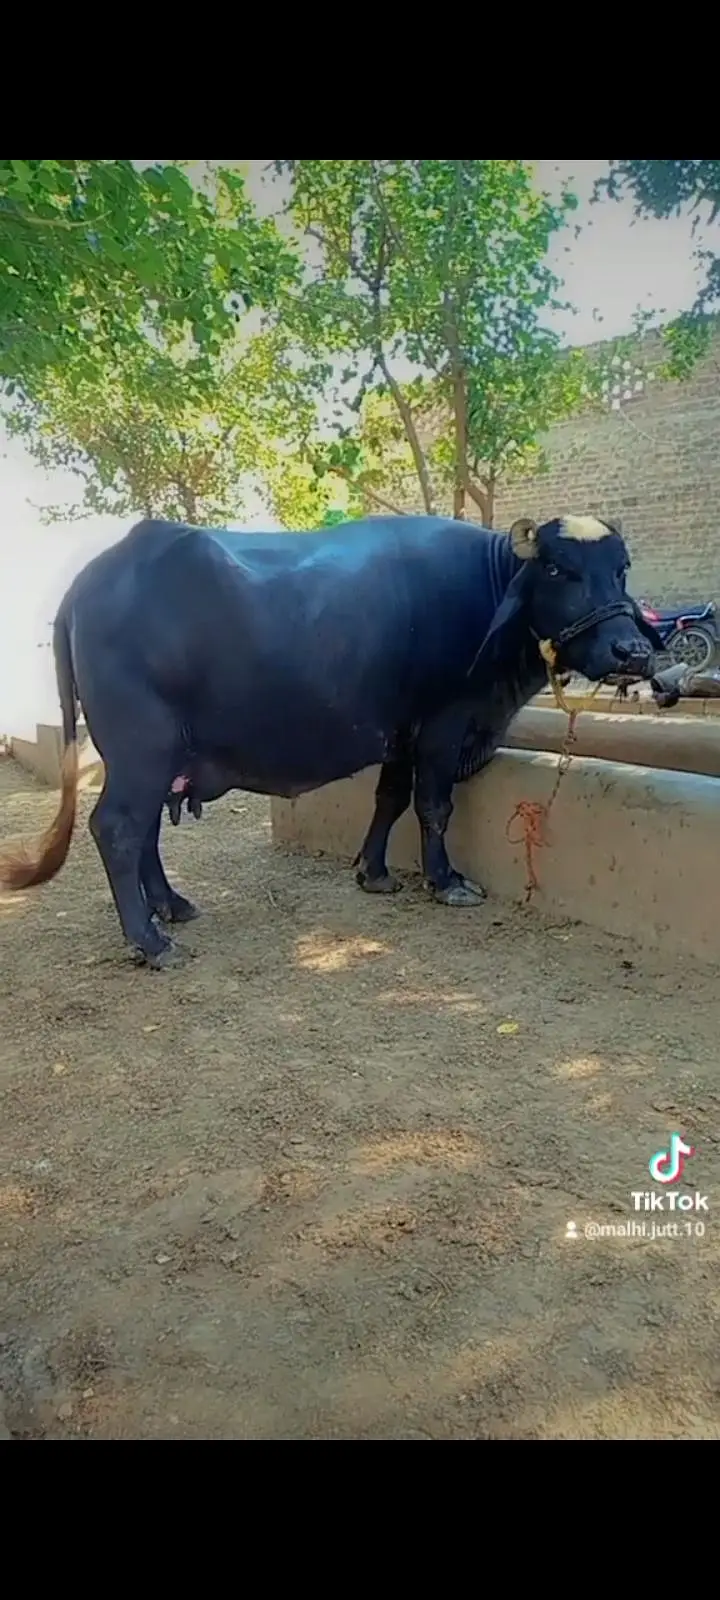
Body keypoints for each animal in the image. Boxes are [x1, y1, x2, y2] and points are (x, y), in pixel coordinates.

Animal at [0, 512, 663, 968]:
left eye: (621, 568)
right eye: (556, 568)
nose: (631, 651)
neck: (487, 592)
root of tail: (87, 582)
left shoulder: (401, 734)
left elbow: (390, 800)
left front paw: (374, 872)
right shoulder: (442, 727)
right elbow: (433, 806)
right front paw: (447, 881)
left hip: (159, 758)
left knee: (145, 833)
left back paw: (174, 906)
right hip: (143, 747)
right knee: (118, 829)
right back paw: (150, 941)